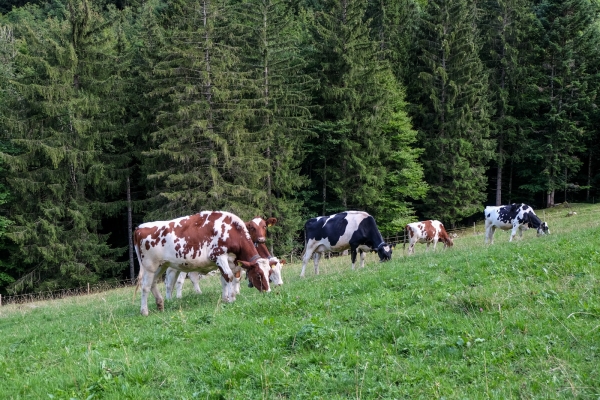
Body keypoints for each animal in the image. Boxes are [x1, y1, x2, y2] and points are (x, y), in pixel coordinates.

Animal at [134, 211, 272, 318]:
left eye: (269, 273)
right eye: (259, 275)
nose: (268, 292)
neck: (232, 230)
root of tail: (139, 228)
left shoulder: (229, 261)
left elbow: (225, 279)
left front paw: (226, 298)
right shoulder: (219, 256)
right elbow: (229, 277)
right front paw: (231, 299)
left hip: (161, 265)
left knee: (153, 283)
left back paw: (160, 304)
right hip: (149, 266)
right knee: (145, 286)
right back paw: (144, 311)